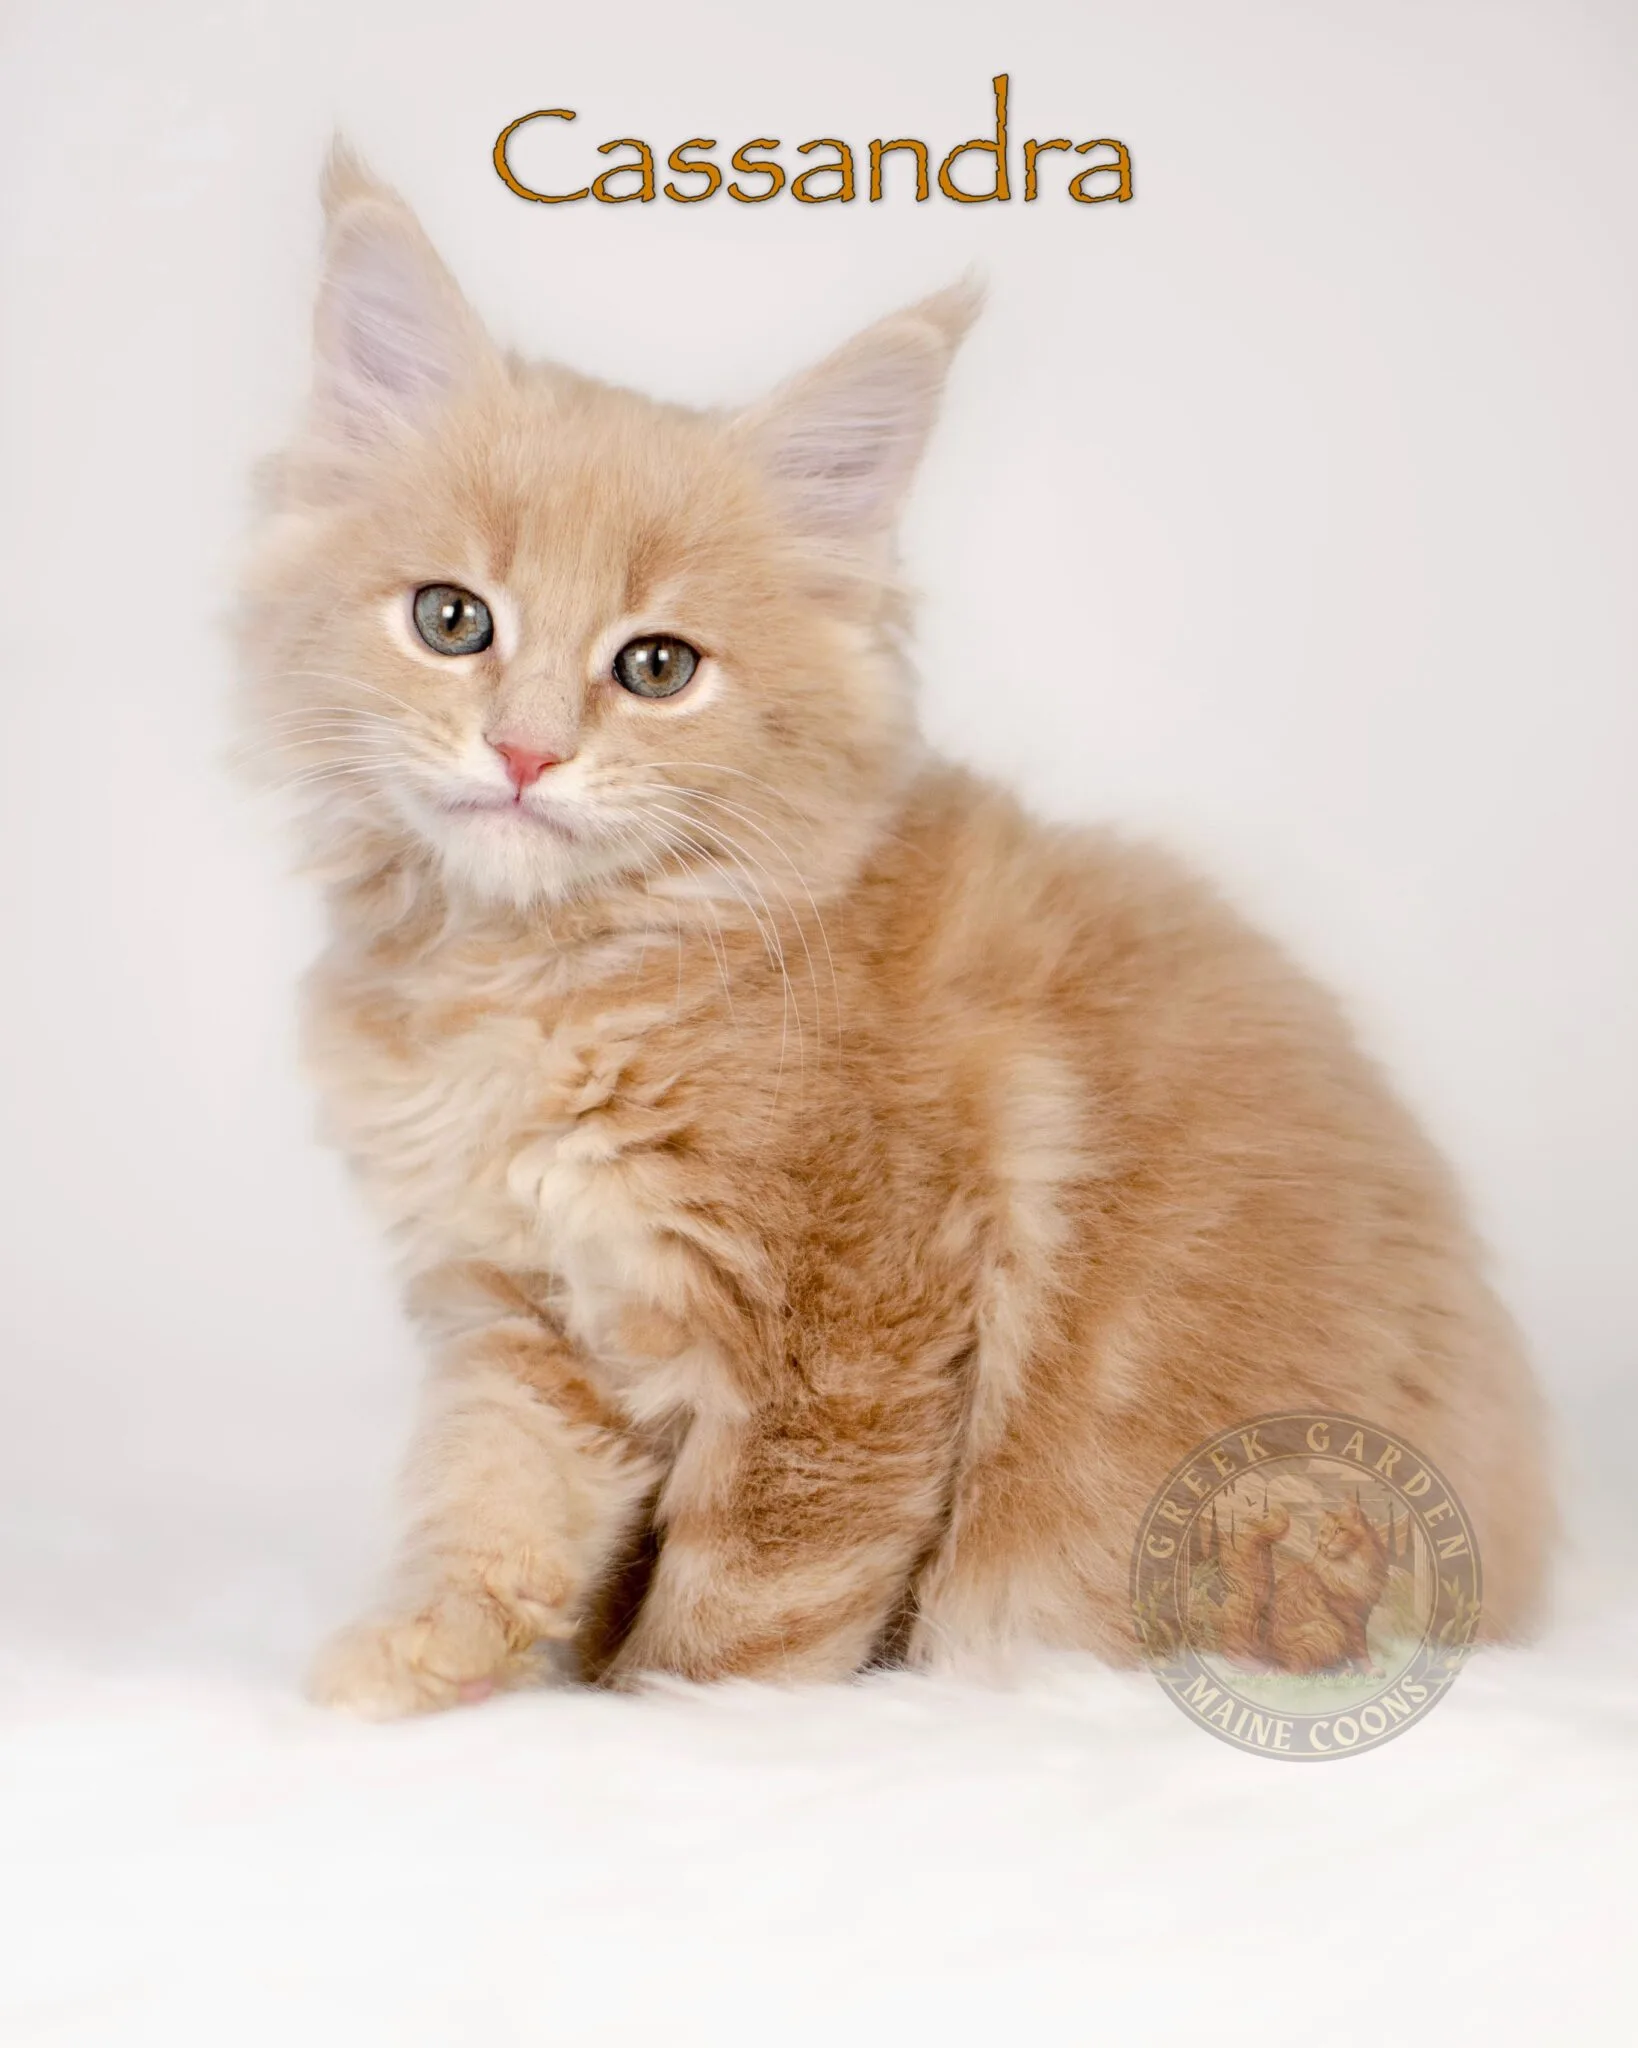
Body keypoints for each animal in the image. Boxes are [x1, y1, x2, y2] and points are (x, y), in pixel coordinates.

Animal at [239, 148, 1547, 1712]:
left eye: (656, 666)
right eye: (451, 621)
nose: (525, 753)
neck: (556, 975)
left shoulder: (849, 1331)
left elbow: (750, 1606)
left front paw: (663, 1714)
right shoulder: (527, 1317)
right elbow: (500, 1499)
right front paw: (417, 1666)